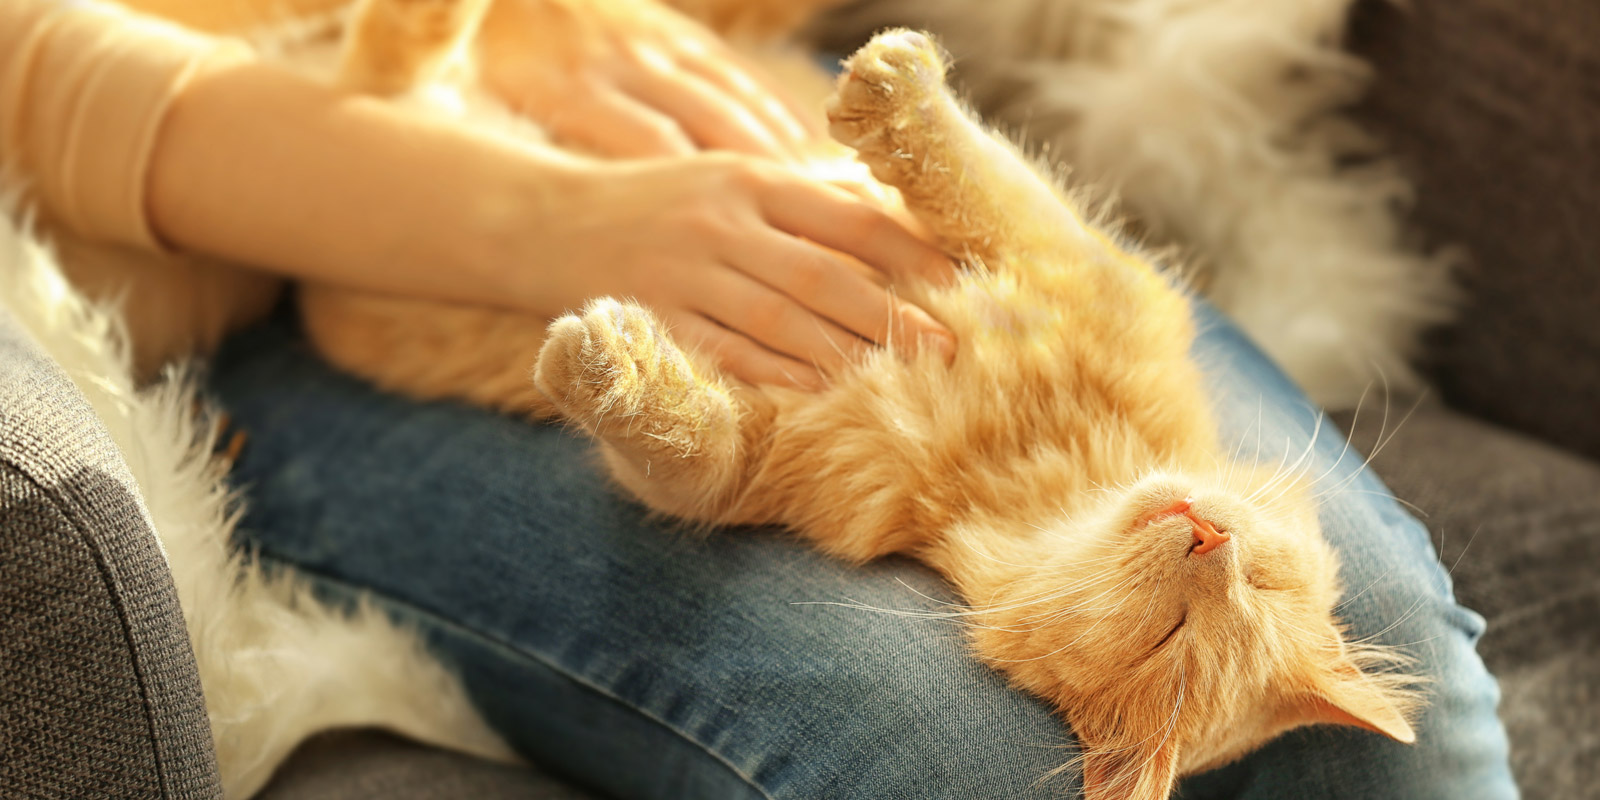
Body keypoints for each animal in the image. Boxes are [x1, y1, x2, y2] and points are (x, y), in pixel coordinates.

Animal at [297, 1, 1414, 800]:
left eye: (1178, 636)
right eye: (1255, 579)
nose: (1205, 533)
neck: (1013, 467)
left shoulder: (757, 465)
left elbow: (677, 440)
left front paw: (607, 364)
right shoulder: (1081, 265)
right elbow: (974, 175)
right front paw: (899, 89)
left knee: (385, 89)